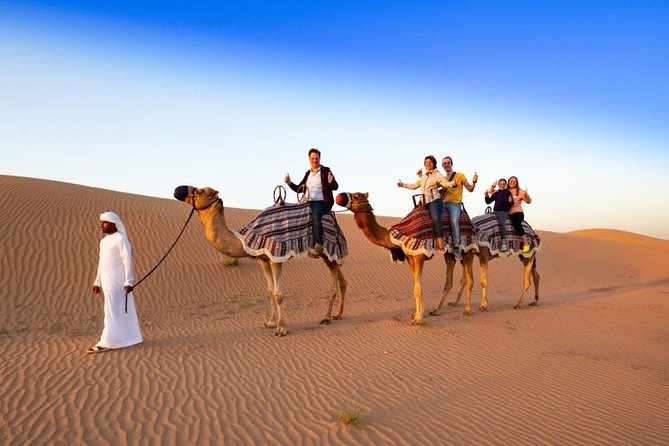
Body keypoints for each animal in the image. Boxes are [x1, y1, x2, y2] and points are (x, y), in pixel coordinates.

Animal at [174, 185, 348, 336]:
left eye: (199, 191)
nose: (178, 190)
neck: (244, 238)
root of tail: (332, 216)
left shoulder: (276, 256)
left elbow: (278, 294)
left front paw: (281, 329)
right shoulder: (263, 259)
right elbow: (270, 291)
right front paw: (269, 322)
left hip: (331, 248)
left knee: (334, 280)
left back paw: (326, 317)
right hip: (328, 255)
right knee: (340, 278)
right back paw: (337, 314)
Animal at [336, 192, 476, 324]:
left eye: (356, 196)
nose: (339, 196)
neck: (397, 235)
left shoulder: (418, 255)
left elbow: (417, 288)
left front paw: (418, 319)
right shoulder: (410, 258)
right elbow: (416, 286)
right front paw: (418, 313)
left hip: (467, 249)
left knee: (470, 280)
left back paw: (468, 310)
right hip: (449, 253)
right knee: (449, 280)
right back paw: (436, 310)